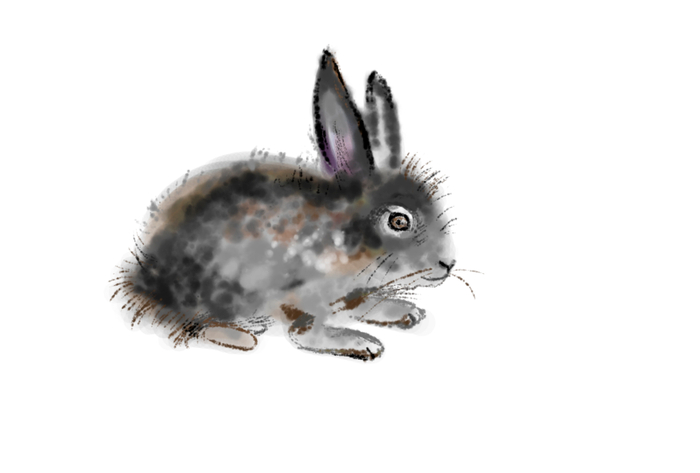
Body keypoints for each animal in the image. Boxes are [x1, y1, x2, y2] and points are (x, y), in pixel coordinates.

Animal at [110, 49, 471, 361]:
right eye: (398, 222)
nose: (448, 263)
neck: (345, 239)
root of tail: (144, 278)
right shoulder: (300, 299)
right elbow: (305, 334)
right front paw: (362, 342)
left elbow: (366, 304)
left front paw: (403, 311)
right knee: (187, 323)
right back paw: (241, 335)